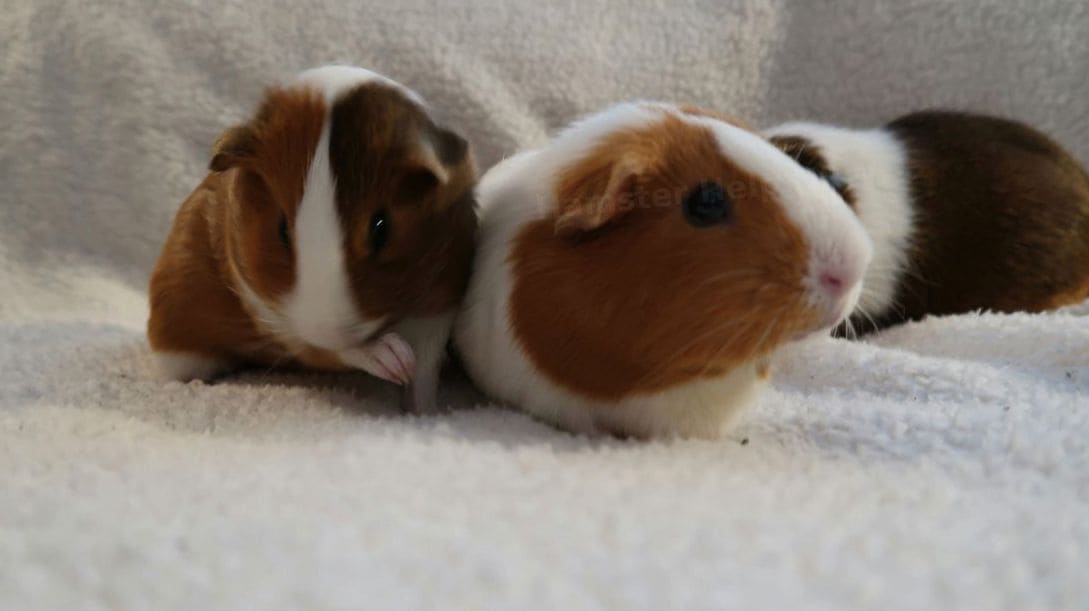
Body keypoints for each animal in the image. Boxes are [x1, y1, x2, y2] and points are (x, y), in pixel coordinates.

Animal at [147, 65, 478, 411]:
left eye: (381, 228)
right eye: (282, 228)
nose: (329, 328)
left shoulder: (439, 305)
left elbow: (424, 371)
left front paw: (422, 410)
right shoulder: (282, 324)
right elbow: (342, 351)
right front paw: (397, 362)